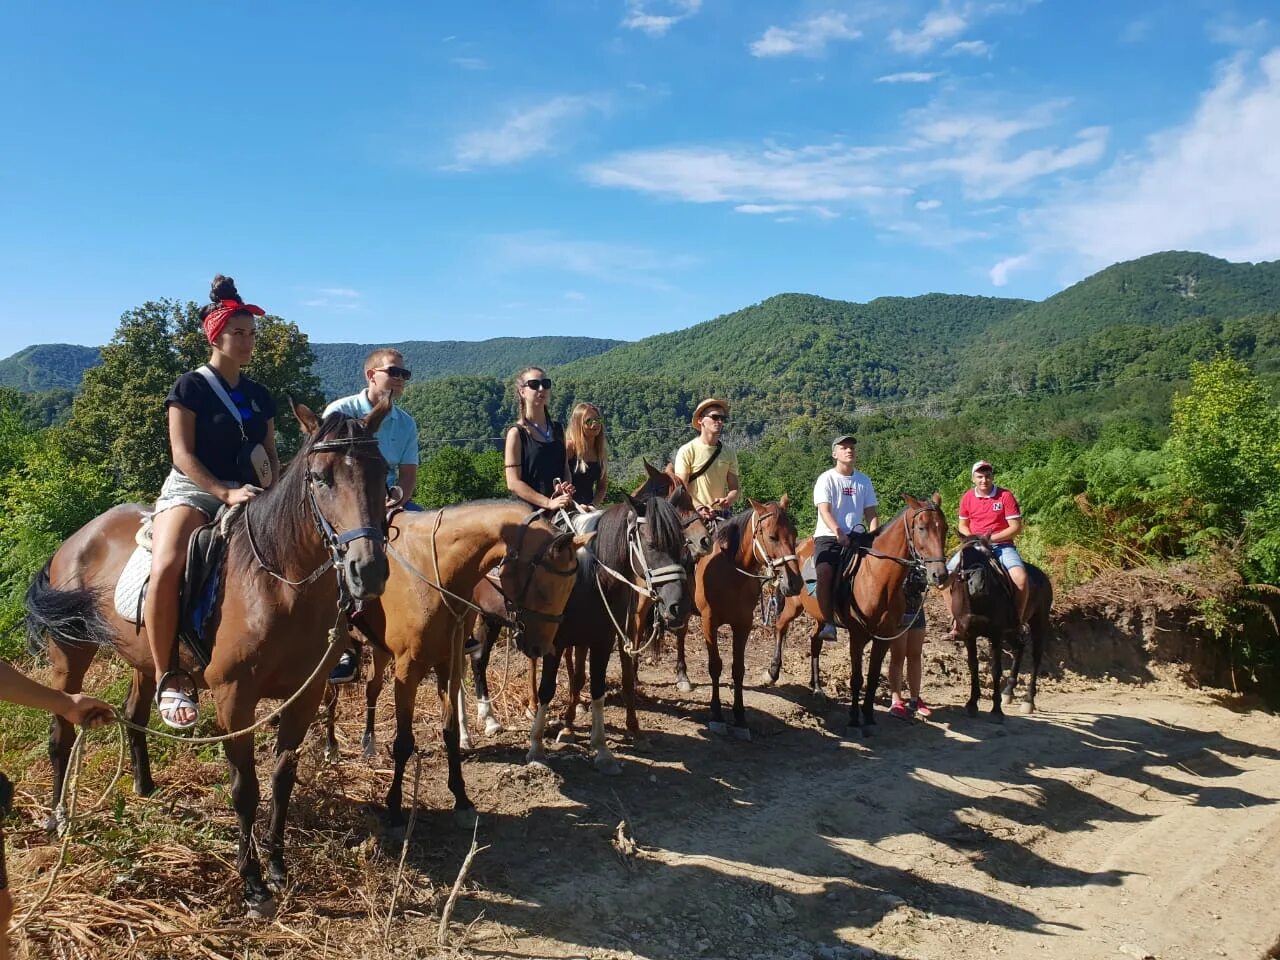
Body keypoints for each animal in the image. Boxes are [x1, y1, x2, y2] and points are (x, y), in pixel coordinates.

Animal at [24, 401, 389, 921]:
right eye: (320, 478)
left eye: (383, 473)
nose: (368, 570)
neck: (278, 581)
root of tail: (75, 540)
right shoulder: (234, 698)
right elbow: (245, 788)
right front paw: (253, 884)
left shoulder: (306, 694)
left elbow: (282, 778)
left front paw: (278, 867)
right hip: (70, 655)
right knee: (61, 734)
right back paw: (57, 819)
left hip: (144, 661)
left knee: (136, 715)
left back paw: (146, 789)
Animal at [330, 496, 588, 829]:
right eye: (544, 587)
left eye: (570, 589)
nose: (539, 647)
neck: (435, 573)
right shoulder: (407, 671)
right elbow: (403, 741)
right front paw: (395, 807)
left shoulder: (448, 664)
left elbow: (450, 731)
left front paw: (462, 798)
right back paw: (332, 748)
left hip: (380, 649)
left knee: (372, 688)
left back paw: (368, 743)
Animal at [670, 499, 798, 742]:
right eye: (772, 537)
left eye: (795, 535)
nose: (794, 582)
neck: (730, 570)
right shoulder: (709, 623)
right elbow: (715, 666)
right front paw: (717, 715)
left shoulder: (743, 624)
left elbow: (738, 669)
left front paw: (740, 718)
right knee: (680, 635)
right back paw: (682, 676)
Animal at [762, 496, 947, 737]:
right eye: (922, 528)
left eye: (944, 528)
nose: (940, 574)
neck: (878, 577)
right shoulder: (857, 636)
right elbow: (857, 679)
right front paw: (853, 719)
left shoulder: (883, 638)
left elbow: (873, 677)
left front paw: (868, 716)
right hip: (793, 607)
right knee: (780, 627)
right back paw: (772, 672)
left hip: (821, 617)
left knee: (814, 641)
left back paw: (817, 688)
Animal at [947, 537, 1054, 716]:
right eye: (964, 557)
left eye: (987, 557)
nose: (978, 586)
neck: (977, 602)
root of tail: (1043, 576)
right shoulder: (969, 634)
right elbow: (973, 666)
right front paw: (972, 703)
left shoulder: (995, 634)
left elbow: (996, 669)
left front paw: (996, 710)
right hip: (1010, 631)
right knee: (1019, 647)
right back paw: (1008, 692)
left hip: (1038, 623)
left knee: (1036, 658)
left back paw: (1028, 701)